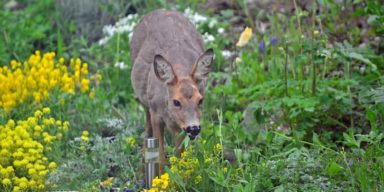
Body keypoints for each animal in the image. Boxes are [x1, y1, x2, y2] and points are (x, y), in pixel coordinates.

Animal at [130, 9, 214, 172]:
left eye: (200, 100)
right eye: (176, 102)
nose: (194, 128)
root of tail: (160, 10)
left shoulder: (179, 126)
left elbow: (179, 154)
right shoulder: (156, 114)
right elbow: (160, 155)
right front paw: (161, 177)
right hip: (144, 100)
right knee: (146, 125)